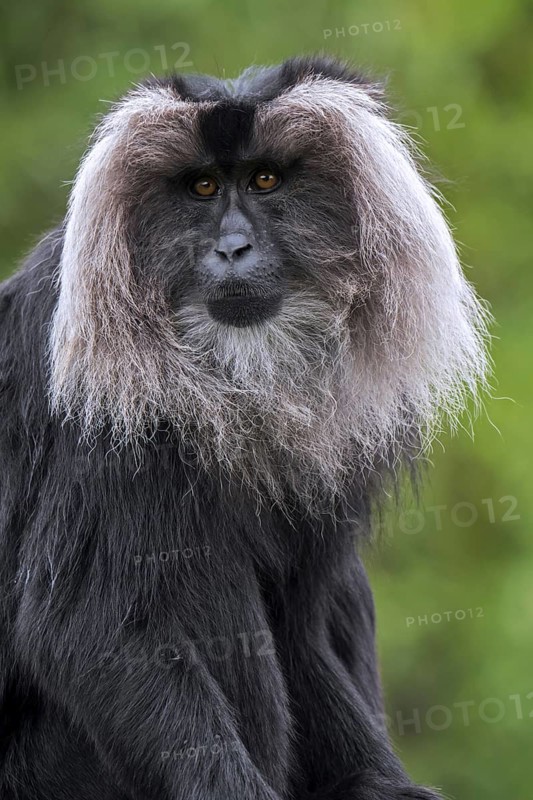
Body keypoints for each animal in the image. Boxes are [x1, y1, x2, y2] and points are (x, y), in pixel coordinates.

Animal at [0, 56, 489, 800]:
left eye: (264, 180)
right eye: (202, 187)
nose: (233, 248)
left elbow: (302, 627)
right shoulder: (94, 393)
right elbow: (95, 631)